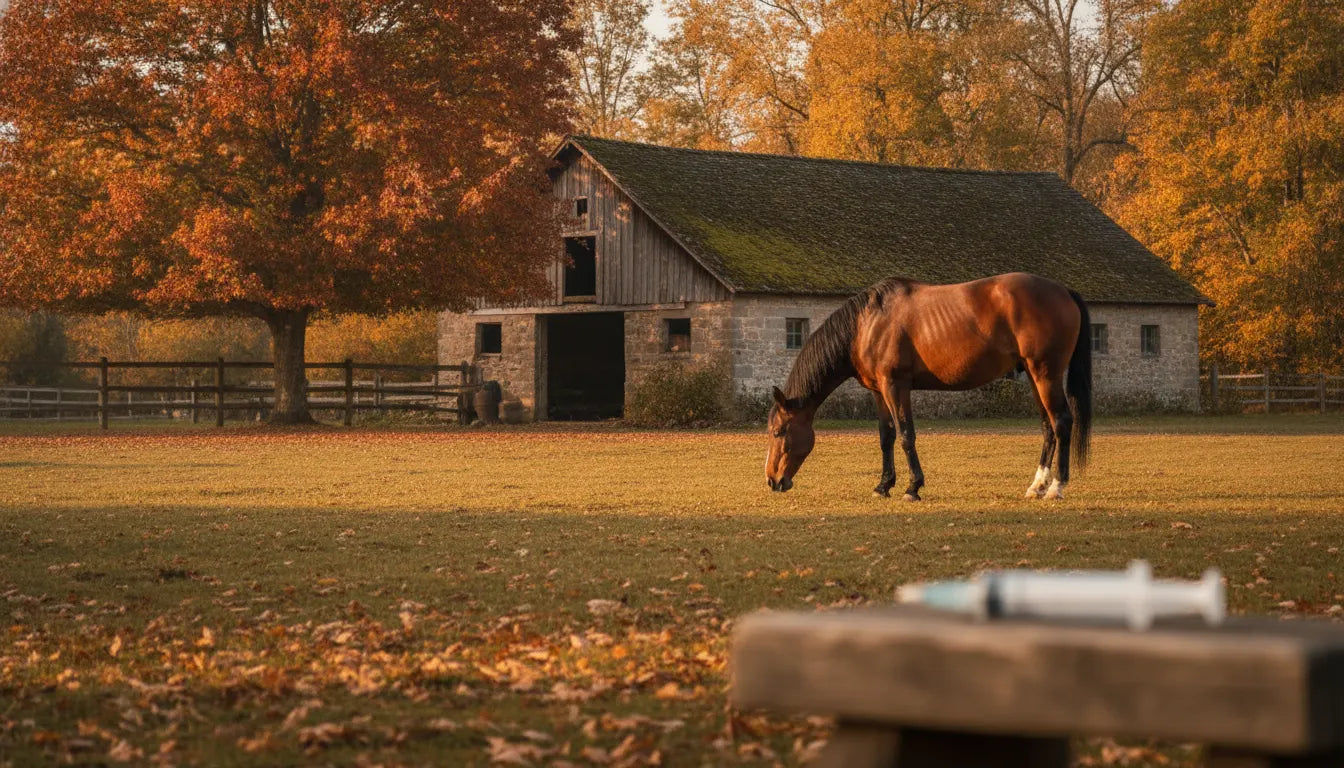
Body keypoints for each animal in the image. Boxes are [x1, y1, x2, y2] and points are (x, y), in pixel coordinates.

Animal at [764, 272, 1092, 500]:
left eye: (778, 432)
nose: (772, 480)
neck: (866, 325)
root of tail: (1063, 291)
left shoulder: (896, 386)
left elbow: (906, 435)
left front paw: (913, 487)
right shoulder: (878, 391)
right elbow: (886, 437)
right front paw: (883, 486)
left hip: (1046, 374)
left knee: (1062, 422)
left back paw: (1056, 487)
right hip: (1035, 377)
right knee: (1047, 426)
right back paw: (1037, 486)